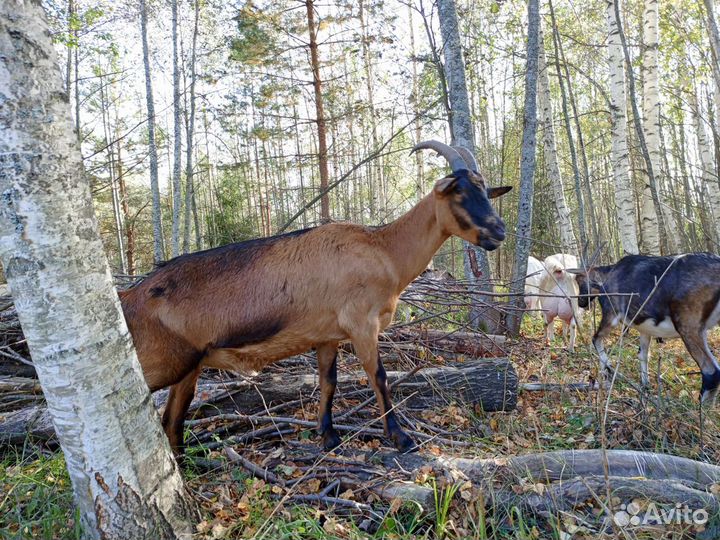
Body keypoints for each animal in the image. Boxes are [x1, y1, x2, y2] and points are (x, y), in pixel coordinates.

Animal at [118, 141, 512, 454]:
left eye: (486, 191)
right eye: (459, 192)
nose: (498, 231)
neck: (384, 249)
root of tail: (128, 296)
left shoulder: (327, 336)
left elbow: (328, 382)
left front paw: (328, 437)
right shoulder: (362, 325)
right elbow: (379, 376)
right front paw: (400, 438)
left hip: (189, 367)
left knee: (172, 422)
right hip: (159, 362)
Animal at [572, 253, 720, 400]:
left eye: (580, 280)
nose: (581, 302)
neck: (608, 275)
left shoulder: (612, 313)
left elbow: (595, 339)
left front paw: (606, 371)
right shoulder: (645, 328)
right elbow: (643, 354)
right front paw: (645, 386)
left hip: (688, 325)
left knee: (711, 371)